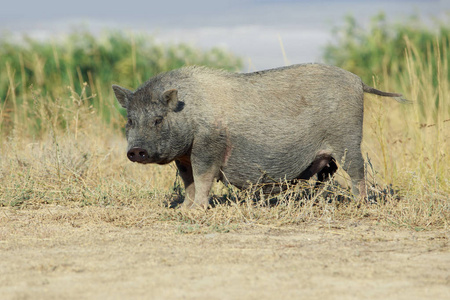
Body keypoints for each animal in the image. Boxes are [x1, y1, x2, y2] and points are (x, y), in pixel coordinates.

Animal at [113, 63, 408, 209]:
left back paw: (359, 205)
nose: (136, 151)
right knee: (326, 174)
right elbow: (189, 182)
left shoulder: (208, 148)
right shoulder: (183, 157)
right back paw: (315, 202)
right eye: (130, 120)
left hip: (348, 140)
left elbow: (203, 178)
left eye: (158, 119)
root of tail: (357, 81)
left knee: (357, 170)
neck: (189, 113)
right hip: (329, 154)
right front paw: (183, 210)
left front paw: (197, 211)